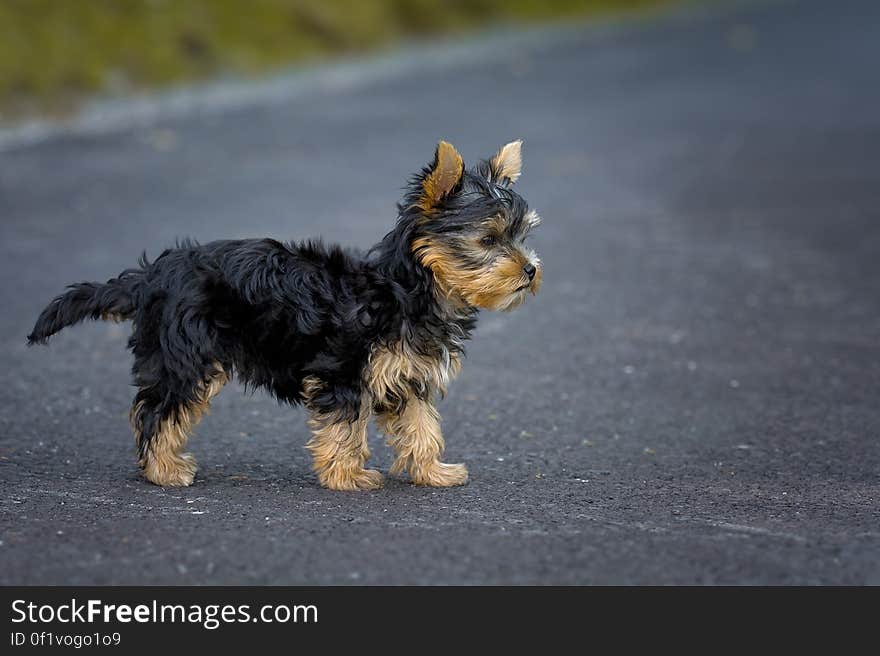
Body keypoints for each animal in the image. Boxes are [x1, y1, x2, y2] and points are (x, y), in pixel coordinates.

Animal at [29, 141, 544, 490]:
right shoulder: (344, 371)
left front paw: (433, 471)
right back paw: (164, 470)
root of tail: (153, 275)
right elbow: (345, 426)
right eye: (488, 239)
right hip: (187, 356)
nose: (531, 270)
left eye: (521, 236)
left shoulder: (406, 376)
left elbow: (421, 426)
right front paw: (347, 476)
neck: (406, 290)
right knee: (159, 410)